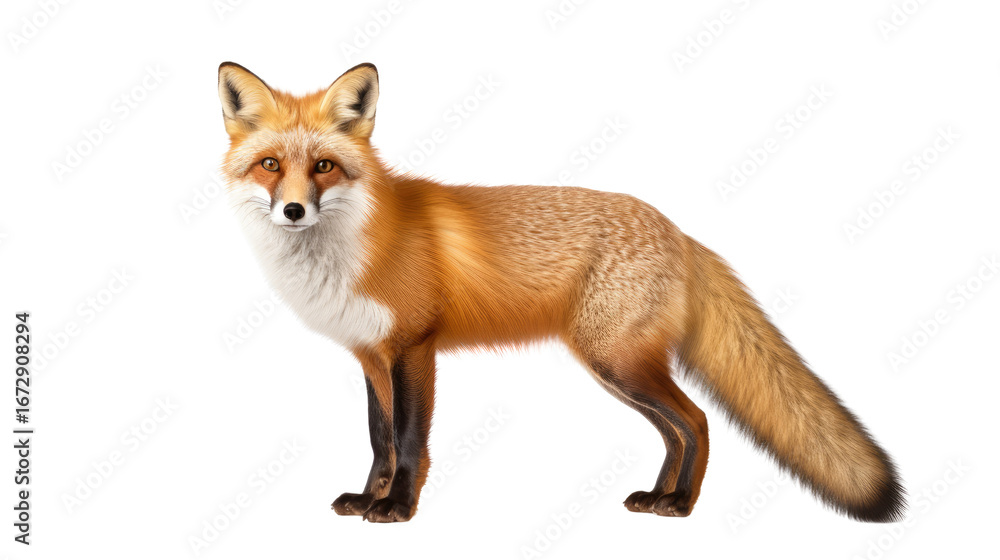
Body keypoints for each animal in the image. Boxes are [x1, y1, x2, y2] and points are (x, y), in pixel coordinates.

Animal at [215, 61, 905, 524]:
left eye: (324, 166)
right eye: (271, 165)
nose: (295, 211)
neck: (355, 248)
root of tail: (679, 232)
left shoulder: (414, 349)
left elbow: (409, 441)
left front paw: (398, 509)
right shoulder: (371, 356)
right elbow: (378, 438)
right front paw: (368, 497)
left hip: (616, 361)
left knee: (699, 421)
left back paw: (681, 503)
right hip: (617, 368)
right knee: (677, 430)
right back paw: (659, 496)